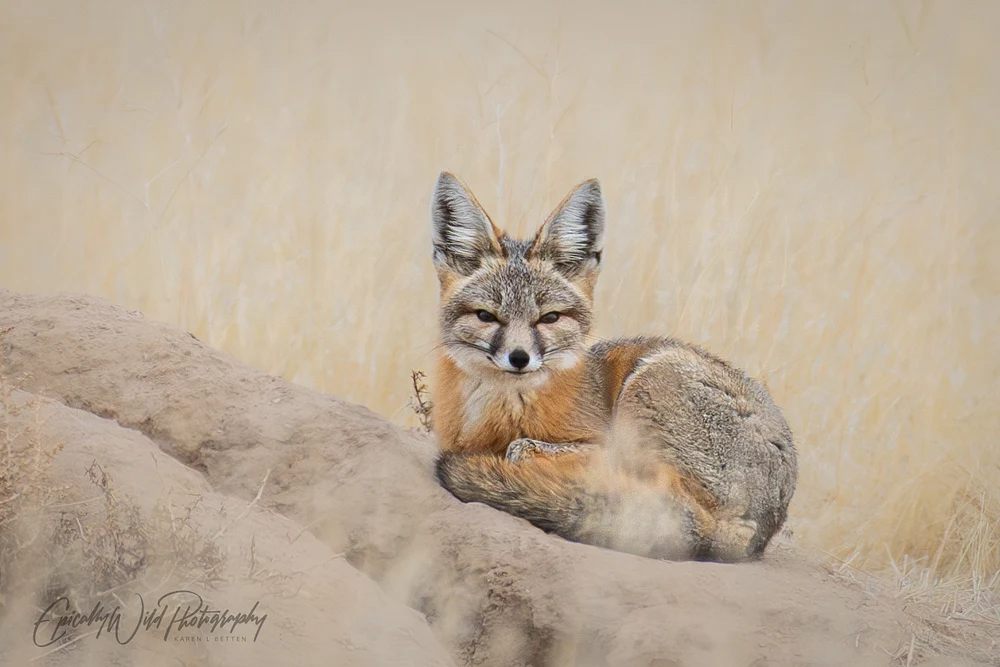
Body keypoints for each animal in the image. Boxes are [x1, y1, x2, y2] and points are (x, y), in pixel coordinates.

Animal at [430, 172, 798, 562]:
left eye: (549, 318)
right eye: (486, 316)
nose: (519, 358)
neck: (497, 410)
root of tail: (759, 535)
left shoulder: (601, 444)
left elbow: (525, 448)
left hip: (651, 379)